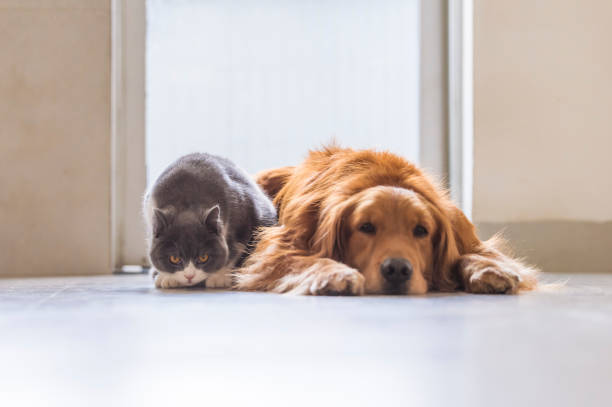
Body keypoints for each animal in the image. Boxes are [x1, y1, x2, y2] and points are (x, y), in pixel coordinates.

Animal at [142, 153, 276, 290]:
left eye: (203, 257)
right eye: (174, 258)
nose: (189, 276)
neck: (188, 197)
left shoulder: (245, 217)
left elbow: (236, 249)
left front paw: (219, 276)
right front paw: (167, 277)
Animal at [234, 147, 536, 296]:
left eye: (421, 230)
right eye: (366, 227)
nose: (397, 270)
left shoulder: (461, 231)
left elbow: (470, 254)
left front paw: (488, 269)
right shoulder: (279, 247)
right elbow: (304, 259)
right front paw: (336, 273)